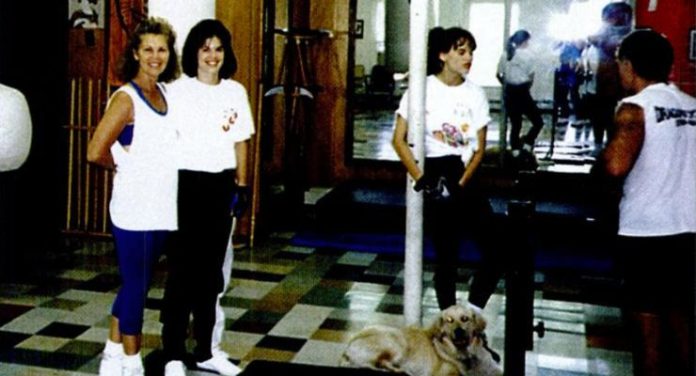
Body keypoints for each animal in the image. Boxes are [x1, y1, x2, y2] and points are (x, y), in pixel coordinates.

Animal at [342, 304, 500, 374]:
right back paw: (401, 370)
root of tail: (347, 348)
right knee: (380, 362)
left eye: (465, 319)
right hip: (397, 343)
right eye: (449, 320)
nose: (458, 331)